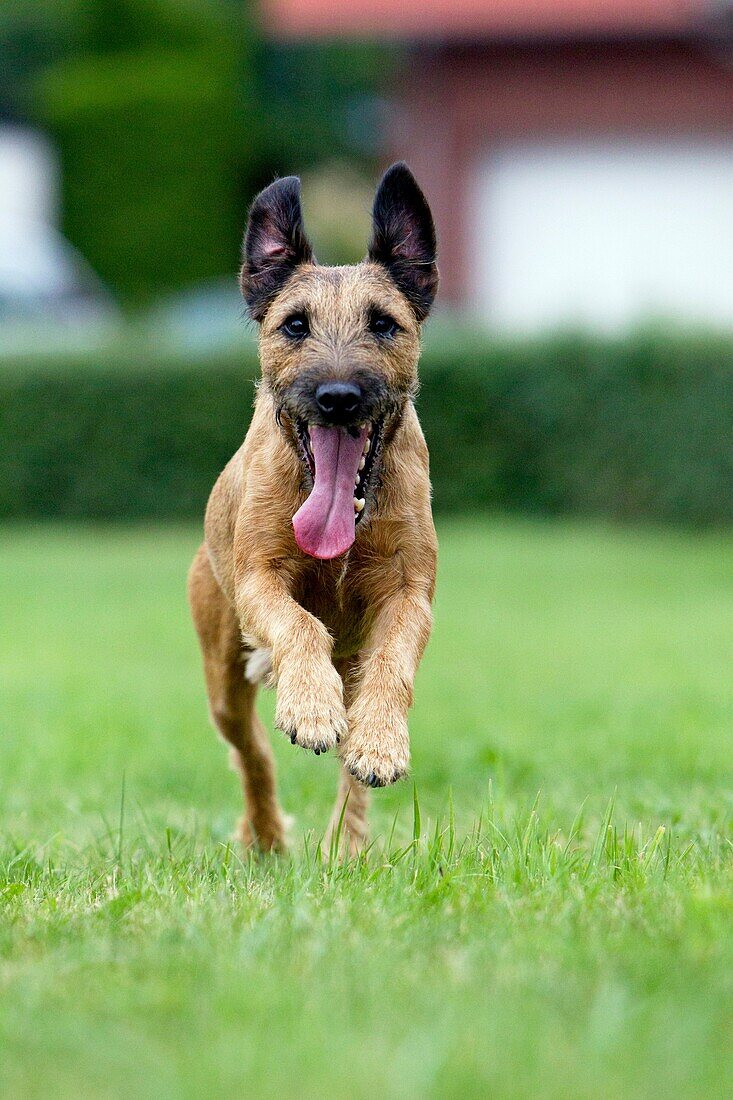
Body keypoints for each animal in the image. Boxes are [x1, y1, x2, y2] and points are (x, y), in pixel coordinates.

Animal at [189, 162, 440, 853]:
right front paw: (308, 709)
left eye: (383, 323)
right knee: (250, 751)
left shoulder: (409, 593)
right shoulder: (258, 577)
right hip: (221, 667)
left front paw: (379, 744)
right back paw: (267, 836)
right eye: (295, 325)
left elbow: (394, 666)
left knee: (349, 777)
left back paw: (346, 847)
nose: (338, 396)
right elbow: (298, 623)